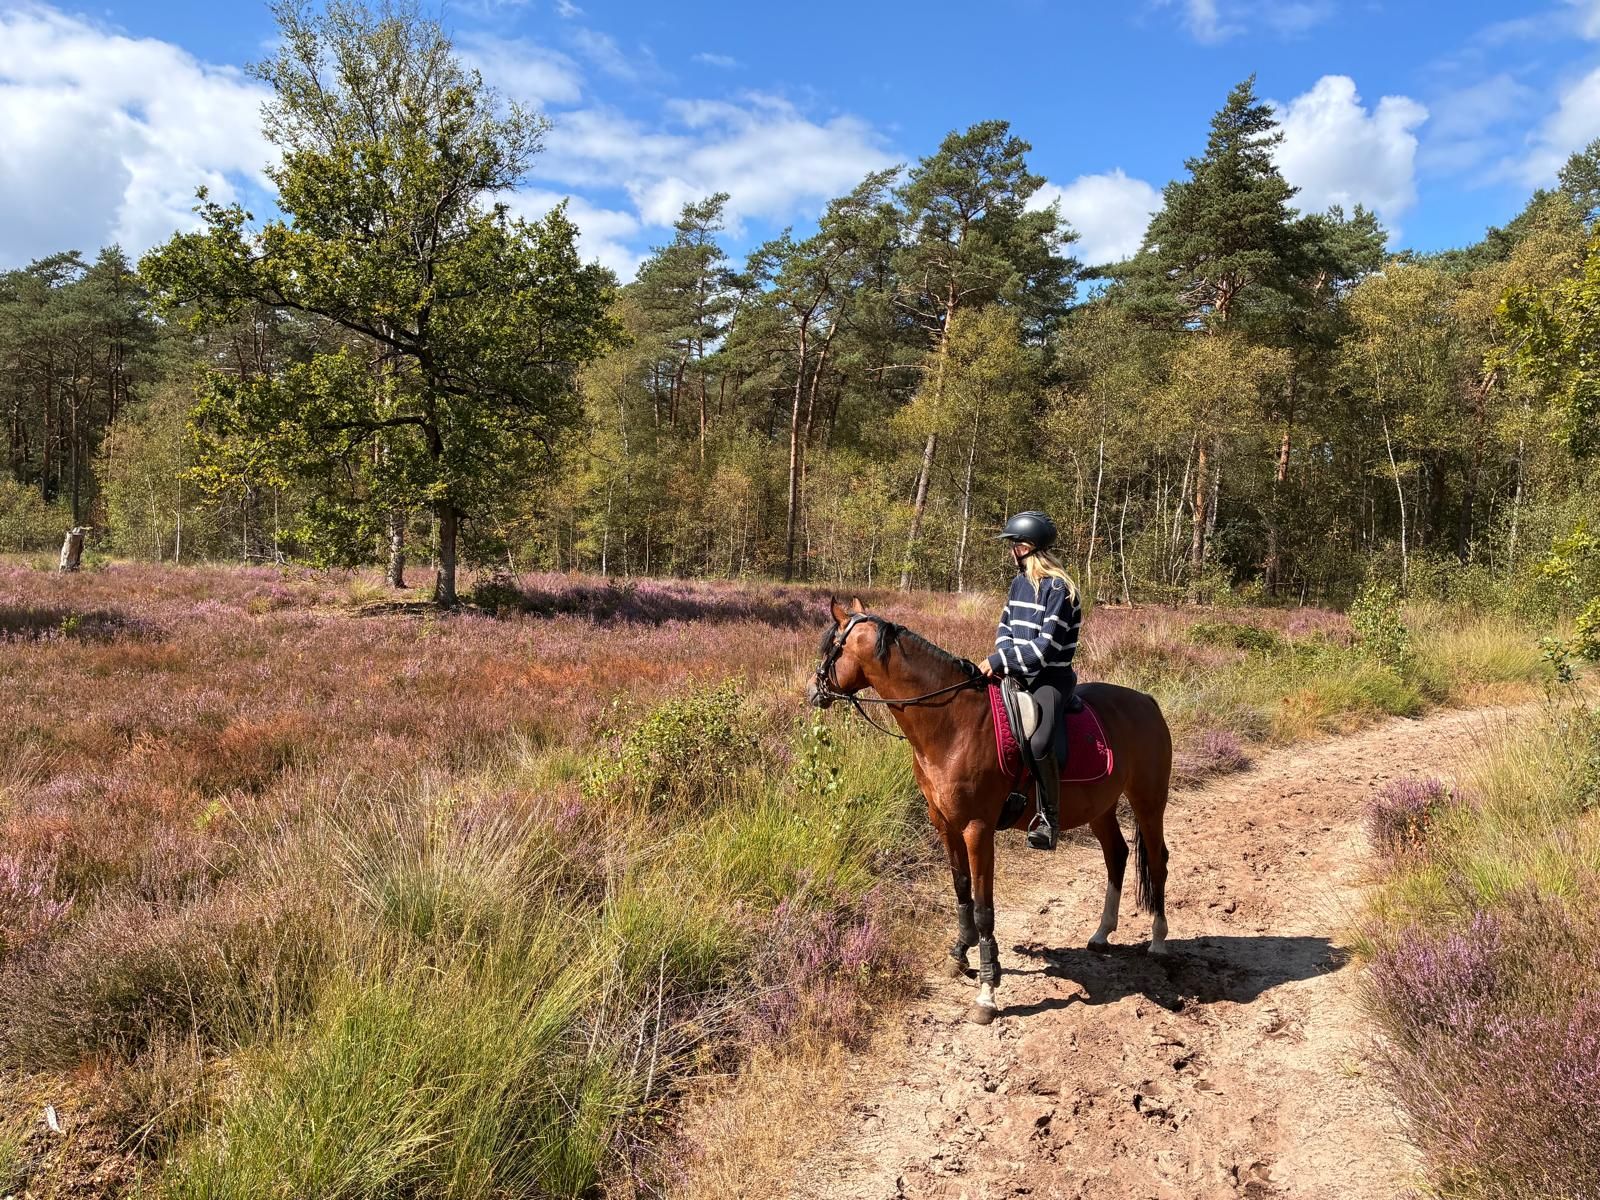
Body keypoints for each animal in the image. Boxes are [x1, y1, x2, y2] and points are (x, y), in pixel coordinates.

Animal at [806, 597, 1174, 1025]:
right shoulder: (945, 824)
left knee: (1158, 860)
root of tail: (1146, 701)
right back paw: (1101, 934)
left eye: (831, 648)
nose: (813, 690)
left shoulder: (976, 829)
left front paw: (987, 991)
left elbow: (984, 907)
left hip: (1148, 800)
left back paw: (1159, 941)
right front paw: (959, 955)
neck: (952, 724)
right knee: (1116, 855)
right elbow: (962, 890)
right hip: (1101, 808)